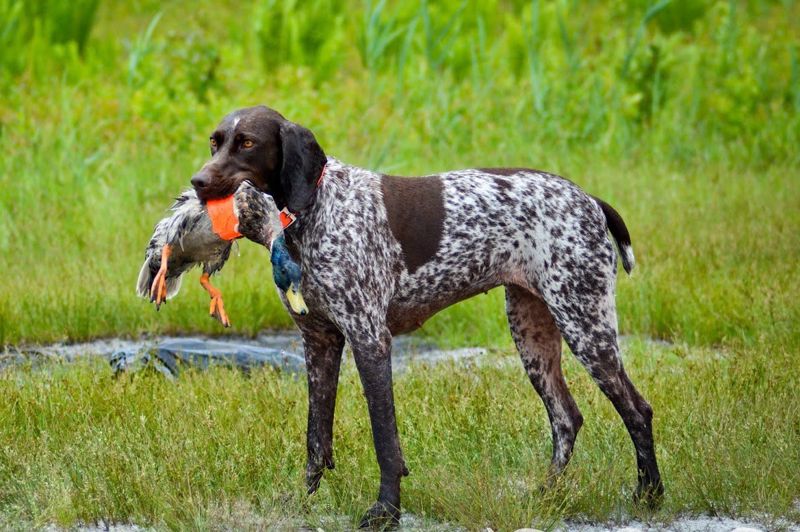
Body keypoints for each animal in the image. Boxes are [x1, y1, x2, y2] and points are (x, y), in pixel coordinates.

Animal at [189, 105, 664, 528]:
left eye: (247, 143)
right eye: (215, 141)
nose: (198, 182)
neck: (316, 210)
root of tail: (590, 199)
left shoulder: (370, 340)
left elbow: (385, 440)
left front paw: (386, 512)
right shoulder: (319, 342)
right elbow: (316, 438)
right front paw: (304, 501)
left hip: (585, 324)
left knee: (637, 410)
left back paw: (650, 496)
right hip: (532, 333)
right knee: (566, 418)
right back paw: (546, 494)